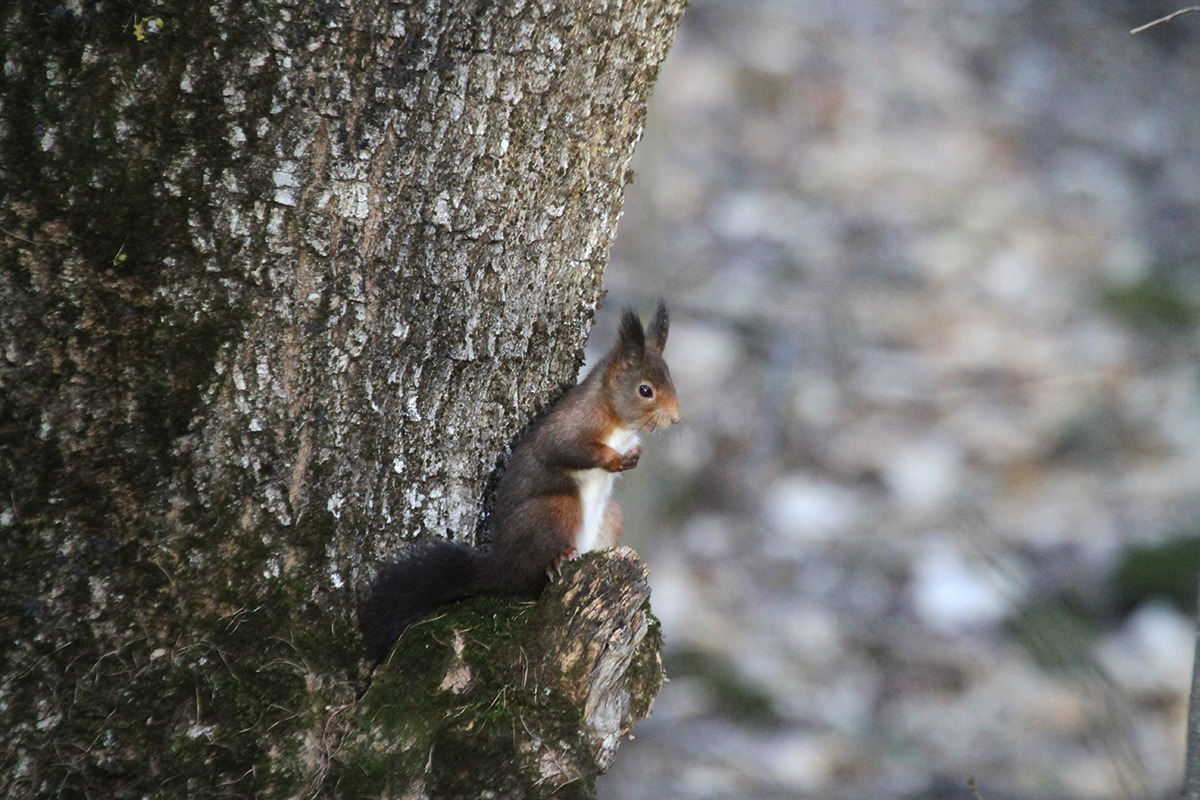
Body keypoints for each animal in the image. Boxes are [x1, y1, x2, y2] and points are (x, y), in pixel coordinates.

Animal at [359, 301, 681, 662]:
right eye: (645, 390)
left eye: (671, 380)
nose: (676, 418)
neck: (618, 422)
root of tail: (501, 566)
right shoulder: (572, 426)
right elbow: (564, 449)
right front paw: (612, 460)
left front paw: (634, 456)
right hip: (557, 510)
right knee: (530, 581)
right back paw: (556, 562)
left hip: (610, 518)